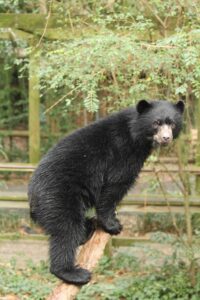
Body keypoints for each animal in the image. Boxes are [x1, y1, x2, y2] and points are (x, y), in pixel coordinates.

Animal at [28, 99, 184, 284]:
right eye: (156, 123)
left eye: (172, 123)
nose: (166, 138)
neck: (135, 134)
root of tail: (32, 196)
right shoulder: (124, 153)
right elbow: (115, 186)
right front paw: (113, 225)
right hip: (58, 196)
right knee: (66, 230)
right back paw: (72, 272)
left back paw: (87, 228)